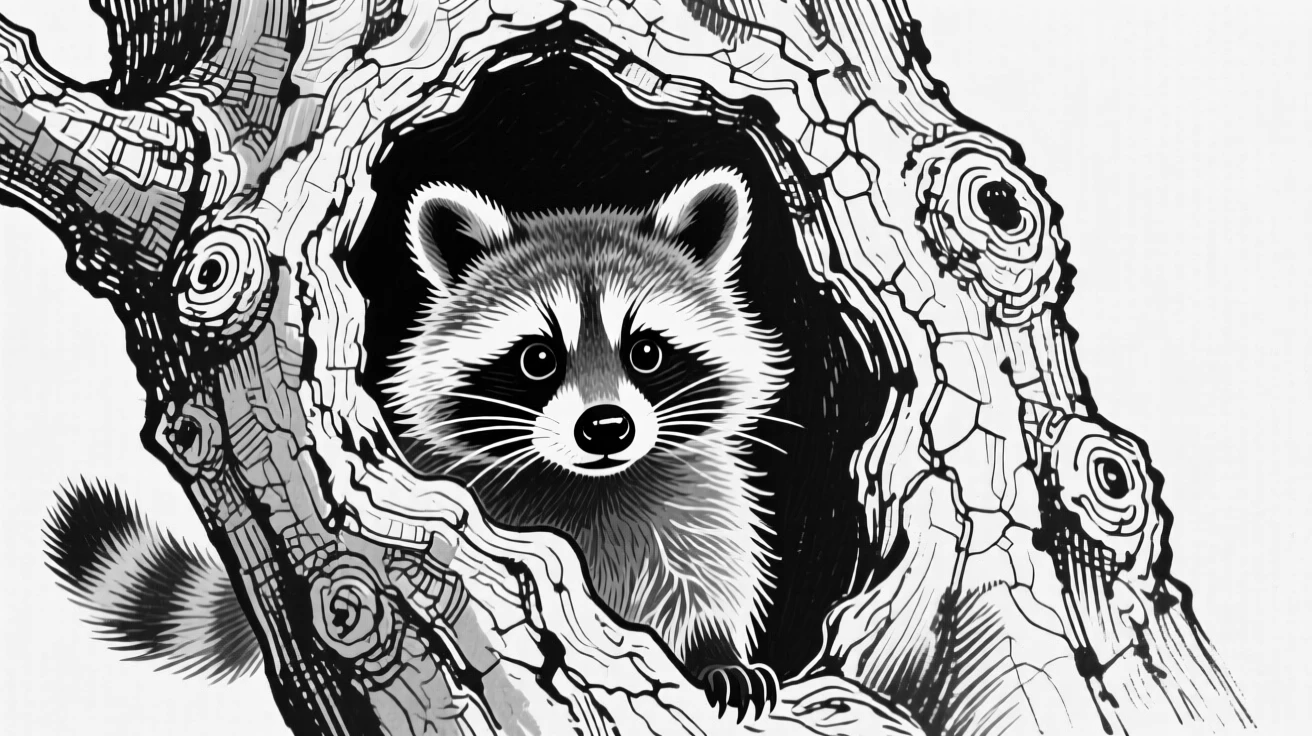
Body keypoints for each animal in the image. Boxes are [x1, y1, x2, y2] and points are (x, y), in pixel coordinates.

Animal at [44, 169, 790, 718]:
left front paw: (717, 654)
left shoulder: (694, 497)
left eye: (646, 352)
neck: (591, 481)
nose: (606, 429)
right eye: (538, 360)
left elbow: (704, 580)